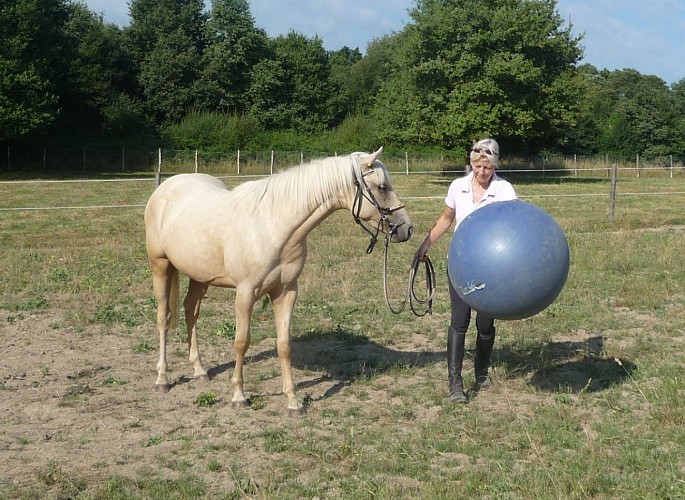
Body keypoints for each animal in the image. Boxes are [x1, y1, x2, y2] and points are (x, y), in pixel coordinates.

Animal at [144, 148, 413, 416]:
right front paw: (239, 396)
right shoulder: (245, 293)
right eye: (382, 187)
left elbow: (284, 345)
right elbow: (241, 342)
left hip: (200, 276)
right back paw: (162, 379)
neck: (272, 226)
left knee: (191, 312)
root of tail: (166, 187)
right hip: (160, 267)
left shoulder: (286, 292)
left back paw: (199, 370)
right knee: (164, 318)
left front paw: (293, 402)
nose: (406, 228)